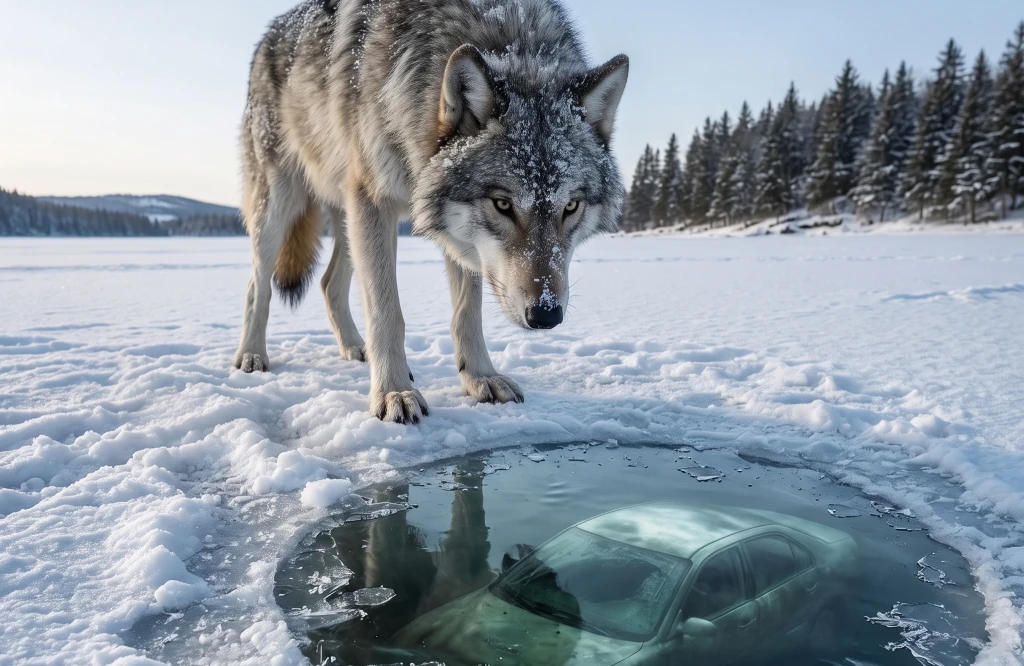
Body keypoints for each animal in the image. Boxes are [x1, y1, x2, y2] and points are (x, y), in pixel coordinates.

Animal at [234, 0, 629, 423]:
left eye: (570, 206)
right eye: (503, 205)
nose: (546, 316)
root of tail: (271, 33)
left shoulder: (457, 234)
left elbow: (468, 312)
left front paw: (480, 377)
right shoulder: (373, 200)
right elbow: (387, 311)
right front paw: (393, 392)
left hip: (346, 219)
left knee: (328, 283)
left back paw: (355, 349)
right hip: (280, 204)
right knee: (257, 284)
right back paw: (251, 355)